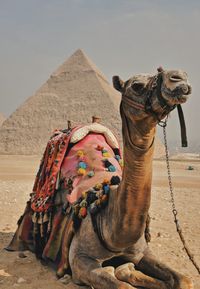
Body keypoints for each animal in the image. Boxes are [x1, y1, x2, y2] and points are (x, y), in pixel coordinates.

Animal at [7, 68, 193, 288]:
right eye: (137, 86)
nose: (179, 78)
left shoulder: (141, 252)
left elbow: (184, 280)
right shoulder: (79, 261)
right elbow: (121, 284)